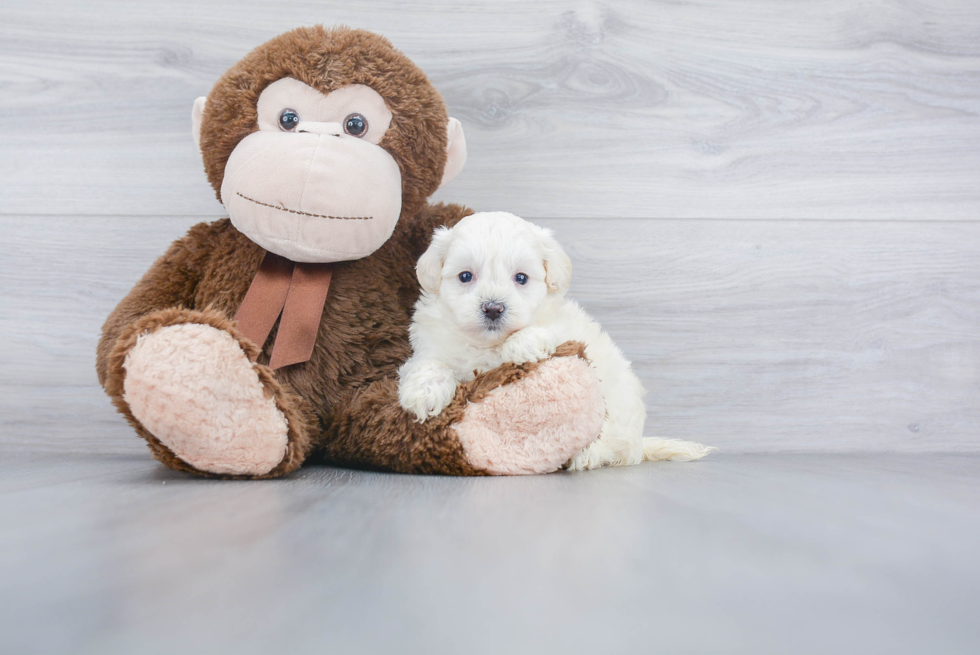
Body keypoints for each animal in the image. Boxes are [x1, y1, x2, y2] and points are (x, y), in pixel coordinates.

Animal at [398, 213, 712, 468]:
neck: (487, 343)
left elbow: (540, 334)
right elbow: (429, 364)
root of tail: (639, 442)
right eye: (465, 276)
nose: (493, 308)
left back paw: (587, 456)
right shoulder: (432, 345)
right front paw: (423, 394)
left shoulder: (563, 328)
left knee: (609, 444)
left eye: (521, 278)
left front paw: (523, 343)